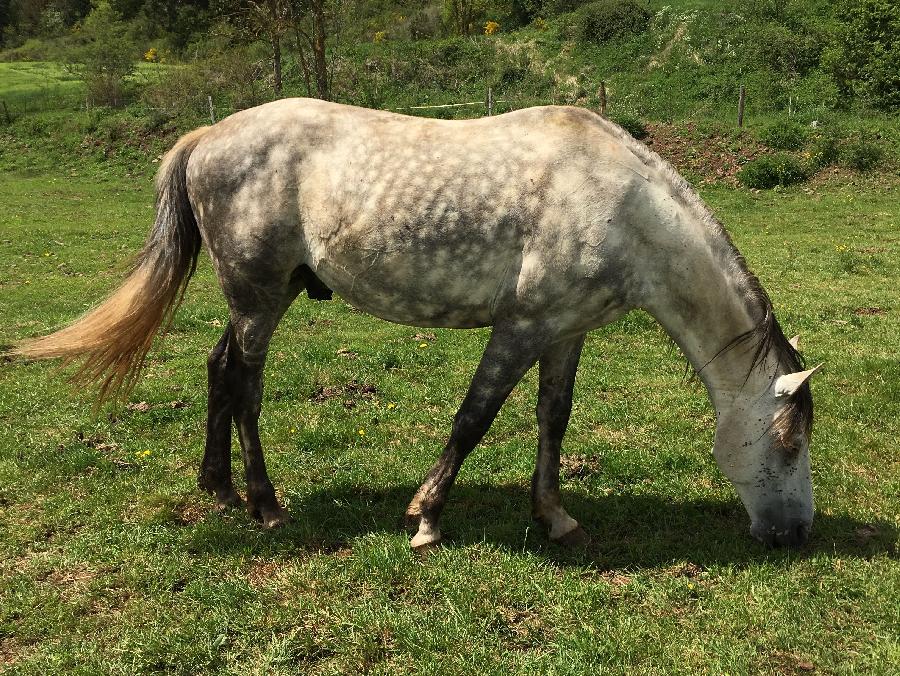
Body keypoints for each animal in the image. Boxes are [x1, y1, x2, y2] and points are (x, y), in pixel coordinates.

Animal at [8, 99, 824, 548]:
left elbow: (553, 419)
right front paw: (427, 518)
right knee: (244, 385)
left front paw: (554, 516)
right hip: (259, 297)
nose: (795, 534)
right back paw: (265, 506)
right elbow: (474, 417)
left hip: (259, 297)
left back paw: (218, 490)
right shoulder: (521, 326)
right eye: (788, 443)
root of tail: (207, 135)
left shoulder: (566, 330)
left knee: (217, 370)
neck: (621, 205)